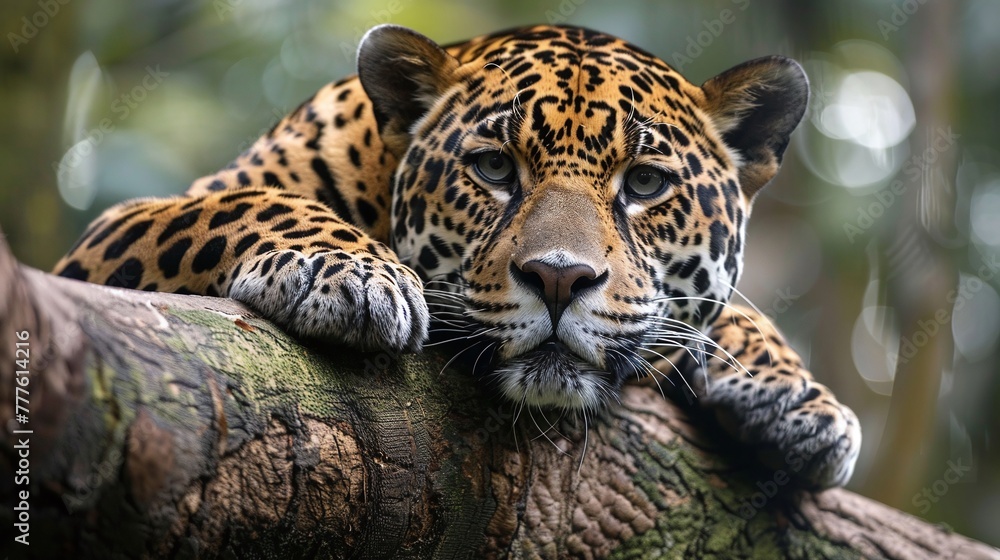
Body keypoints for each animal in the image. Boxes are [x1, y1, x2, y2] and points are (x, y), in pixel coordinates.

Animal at [53, 24, 860, 488]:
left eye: (644, 184)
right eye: (495, 168)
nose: (559, 279)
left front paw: (796, 394)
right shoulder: (110, 236)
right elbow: (240, 203)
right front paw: (350, 271)